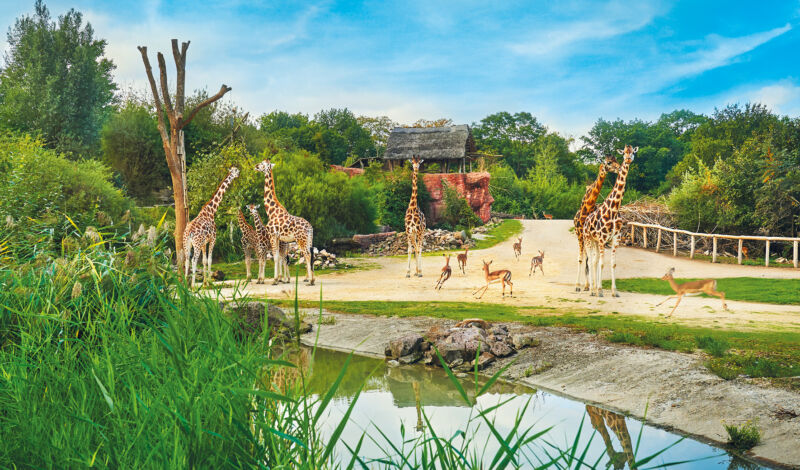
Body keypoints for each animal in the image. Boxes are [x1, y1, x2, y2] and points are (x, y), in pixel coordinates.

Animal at [572, 156, 620, 292]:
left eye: (617, 160)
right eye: (609, 162)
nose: (619, 168)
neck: (586, 208)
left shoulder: (592, 237)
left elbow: (592, 259)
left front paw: (591, 286)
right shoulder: (580, 235)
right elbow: (581, 259)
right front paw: (578, 286)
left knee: (593, 258)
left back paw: (592, 285)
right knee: (587, 257)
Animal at [580, 145, 636, 296]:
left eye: (633, 153)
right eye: (624, 153)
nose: (628, 159)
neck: (614, 210)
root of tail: (586, 221)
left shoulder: (614, 239)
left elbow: (612, 263)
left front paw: (614, 291)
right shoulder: (601, 239)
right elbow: (601, 263)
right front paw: (599, 290)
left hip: (595, 241)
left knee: (593, 260)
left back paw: (593, 288)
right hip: (587, 238)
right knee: (589, 260)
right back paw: (591, 289)